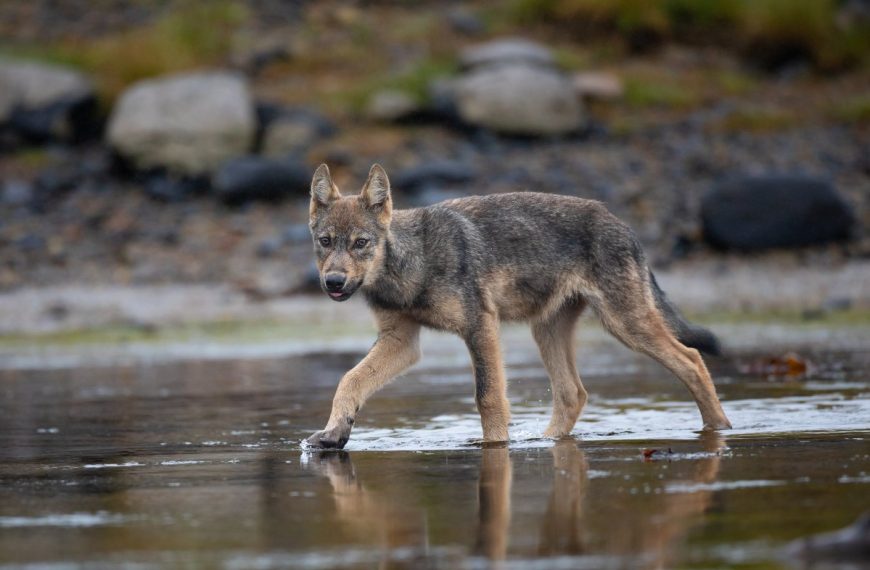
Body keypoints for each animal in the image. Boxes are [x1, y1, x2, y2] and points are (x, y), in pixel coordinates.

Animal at [305, 163, 731, 449]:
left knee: (692, 359)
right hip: (548, 330)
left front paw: (494, 448)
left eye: (360, 243)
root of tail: (623, 225)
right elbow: (349, 380)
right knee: (573, 394)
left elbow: (488, 397)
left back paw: (720, 430)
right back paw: (546, 440)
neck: (413, 266)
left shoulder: (480, 327)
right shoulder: (401, 341)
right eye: (325, 242)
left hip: (625, 325)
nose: (334, 282)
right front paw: (334, 432)